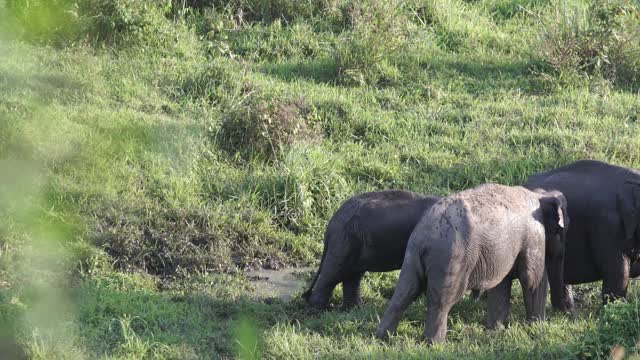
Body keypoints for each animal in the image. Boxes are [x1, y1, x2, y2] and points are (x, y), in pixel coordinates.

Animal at [300, 190, 440, 308]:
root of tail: (332, 223)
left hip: (353, 242)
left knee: (352, 275)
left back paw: (354, 308)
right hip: (344, 241)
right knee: (334, 272)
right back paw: (319, 308)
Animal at [372, 184, 568, 344]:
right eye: (562, 231)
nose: (565, 311)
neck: (538, 194)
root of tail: (425, 236)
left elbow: (501, 285)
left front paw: (495, 331)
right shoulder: (534, 235)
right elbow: (533, 280)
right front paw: (537, 329)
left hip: (413, 255)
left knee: (405, 291)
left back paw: (383, 337)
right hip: (452, 259)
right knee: (442, 300)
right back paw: (436, 344)